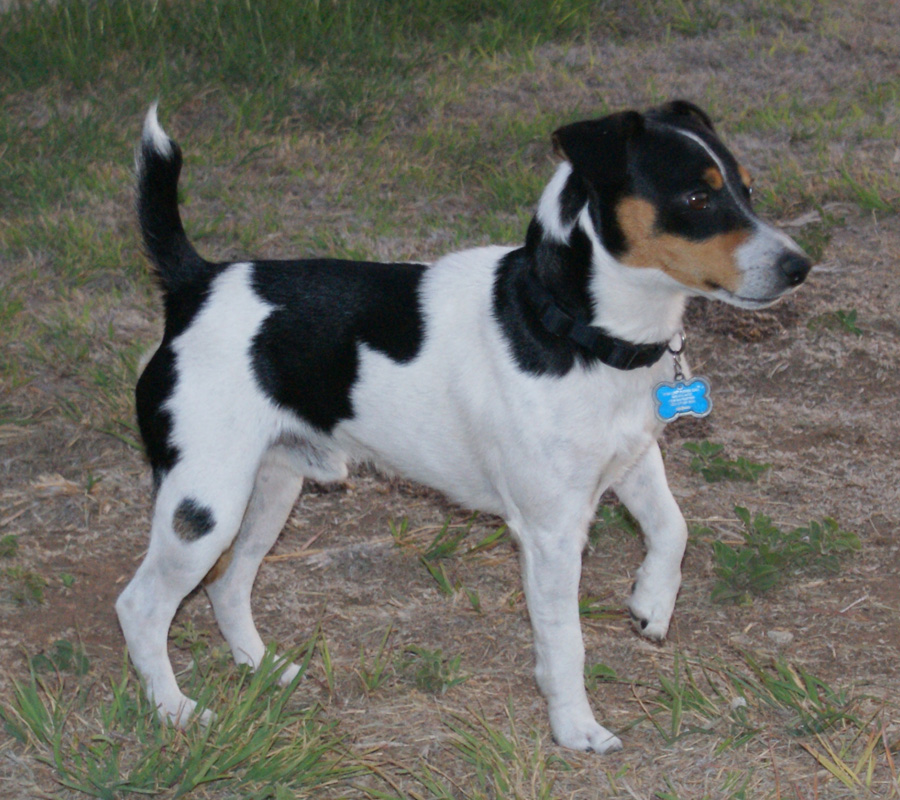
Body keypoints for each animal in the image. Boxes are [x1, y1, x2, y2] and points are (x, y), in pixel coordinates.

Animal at [117, 100, 810, 753]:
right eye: (696, 198)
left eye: (748, 191)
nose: (799, 266)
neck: (567, 325)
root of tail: (197, 282)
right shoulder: (552, 532)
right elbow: (565, 641)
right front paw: (576, 729)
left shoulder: (632, 461)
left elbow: (674, 528)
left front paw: (651, 604)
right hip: (205, 504)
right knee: (142, 605)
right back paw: (174, 710)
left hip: (269, 490)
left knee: (229, 584)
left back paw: (262, 667)